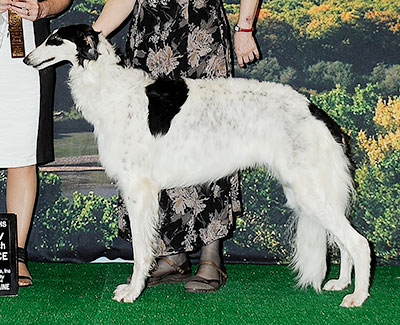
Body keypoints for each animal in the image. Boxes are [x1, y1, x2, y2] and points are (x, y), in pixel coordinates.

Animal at [24, 24, 372, 306]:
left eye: (55, 39)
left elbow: (140, 250)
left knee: (359, 243)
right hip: (309, 192)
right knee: (344, 242)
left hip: (310, 191)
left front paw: (132, 292)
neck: (110, 89)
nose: (26, 59)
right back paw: (342, 283)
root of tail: (318, 112)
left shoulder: (138, 189)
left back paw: (358, 297)